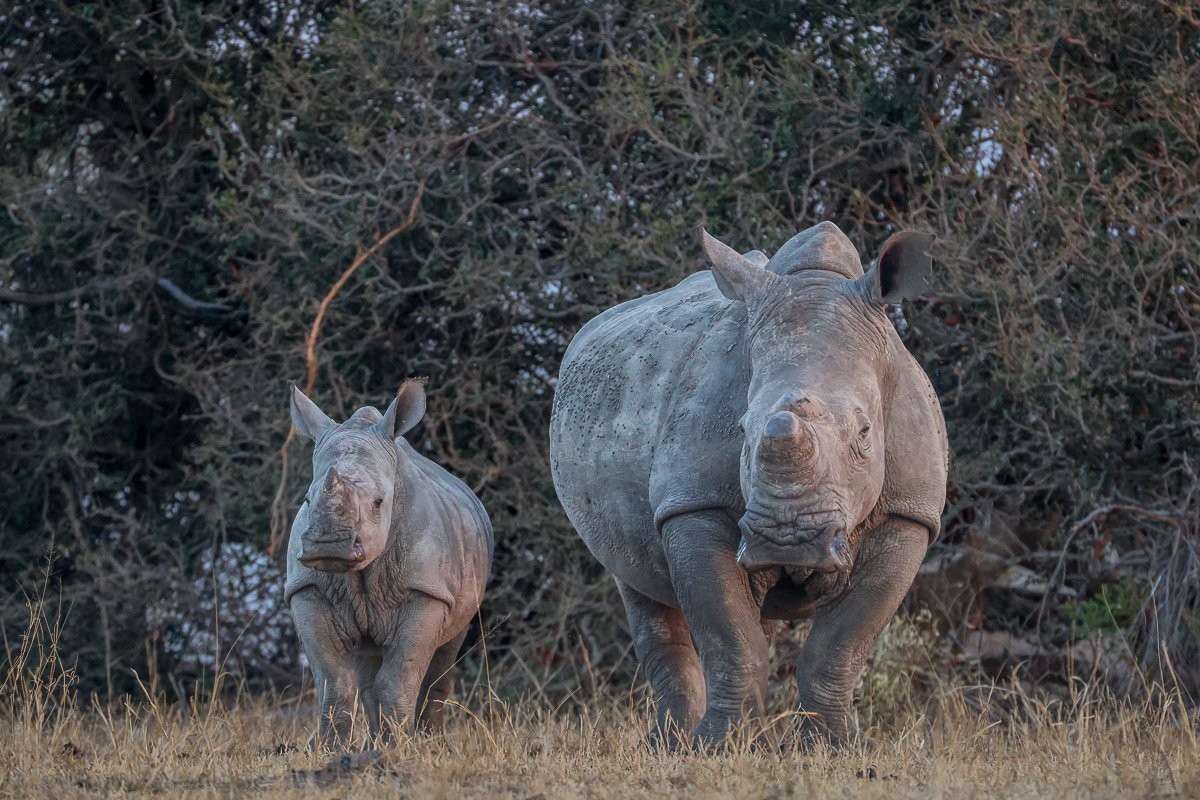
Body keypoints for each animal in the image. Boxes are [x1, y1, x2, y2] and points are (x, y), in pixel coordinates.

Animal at [285, 380, 493, 749]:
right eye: (308, 500)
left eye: (379, 503)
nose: (328, 545)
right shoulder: (307, 589)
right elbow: (334, 678)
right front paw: (330, 749)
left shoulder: (426, 590)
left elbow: (399, 677)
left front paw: (400, 747)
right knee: (366, 666)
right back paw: (374, 743)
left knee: (444, 655)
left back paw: (429, 741)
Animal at [549, 221, 947, 747]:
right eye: (740, 428)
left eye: (865, 432)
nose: (789, 540)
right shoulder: (692, 502)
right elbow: (731, 640)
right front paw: (715, 748)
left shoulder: (910, 511)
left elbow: (840, 646)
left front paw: (831, 748)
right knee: (639, 587)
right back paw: (668, 745)